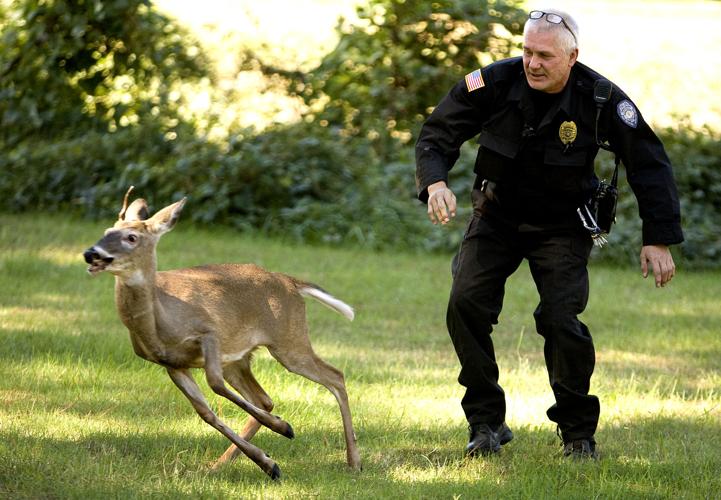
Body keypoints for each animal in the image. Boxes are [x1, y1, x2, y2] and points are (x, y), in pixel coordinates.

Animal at [82, 187, 361, 480]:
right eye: (107, 230)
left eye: (131, 237)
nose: (91, 253)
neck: (159, 321)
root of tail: (290, 282)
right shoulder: (172, 364)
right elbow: (205, 412)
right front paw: (269, 460)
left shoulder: (209, 333)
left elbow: (215, 384)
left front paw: (283, 428)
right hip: (239, 359)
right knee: (265, 399)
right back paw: (225, 463)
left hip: (289, 341)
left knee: (335, 376)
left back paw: (354, 461)